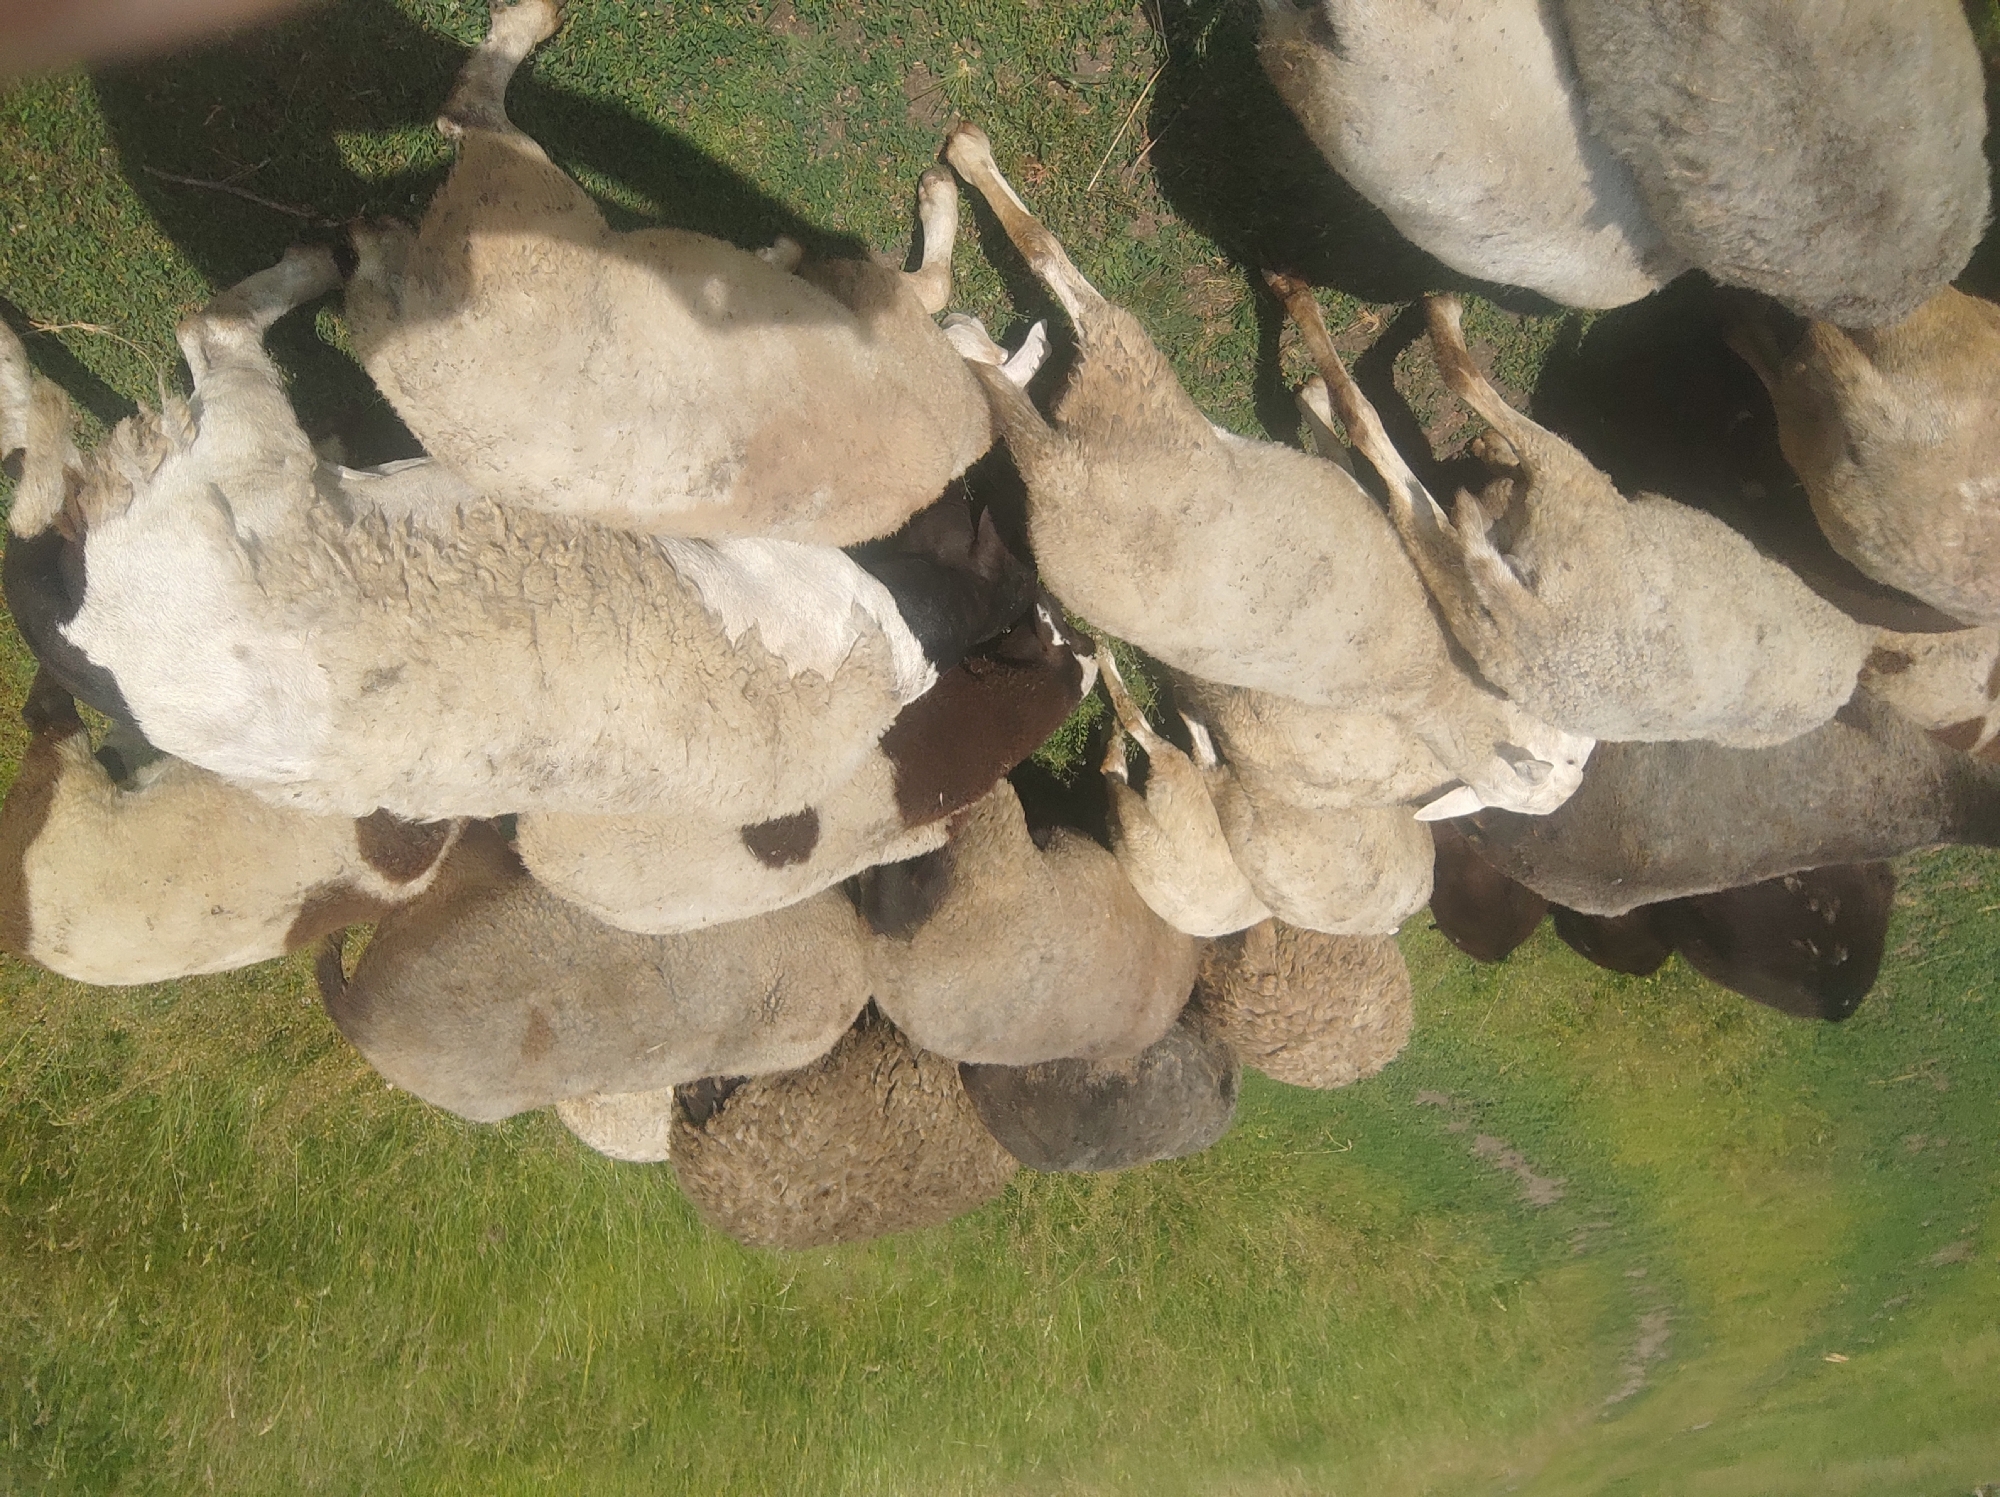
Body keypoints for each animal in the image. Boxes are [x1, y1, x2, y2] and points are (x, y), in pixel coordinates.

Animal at [937, 123, 1586, 818]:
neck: (1428, 691)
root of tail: (1059, 470)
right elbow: (1361, 428)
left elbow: (1358, 432)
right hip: (1128, 371)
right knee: (1049, 267)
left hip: (1128, 383)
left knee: (1041, 310)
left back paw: (970, 300)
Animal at [1276, 279, 1874, 746]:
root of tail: (1540, 626)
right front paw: (1491, 454)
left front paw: (1491, 454)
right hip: (1488, 595)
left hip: (1560, 501)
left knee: (1417, 411)